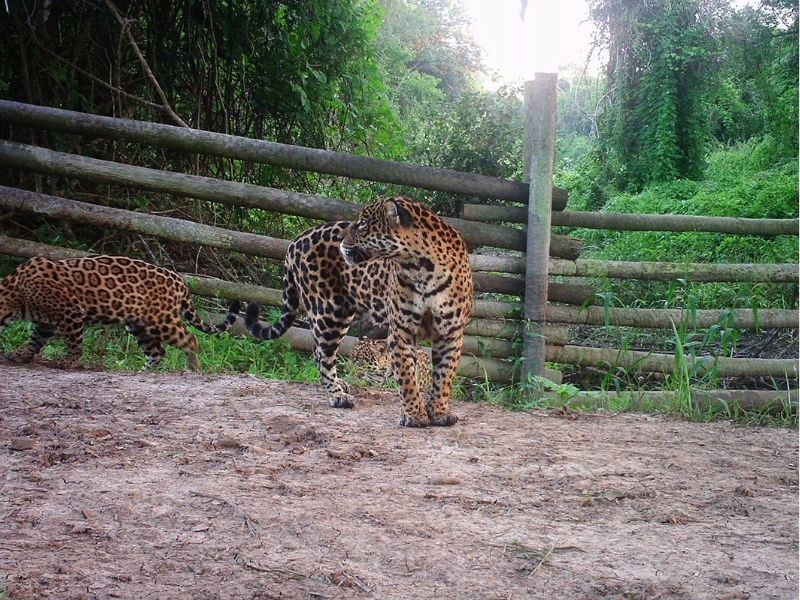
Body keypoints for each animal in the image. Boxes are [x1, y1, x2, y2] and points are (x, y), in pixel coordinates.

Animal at [0, 255, 232, 370]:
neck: (15, 293)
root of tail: (181, 282)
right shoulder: (46, 322)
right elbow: (35, 340)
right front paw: (21, 355)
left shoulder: (71, 312)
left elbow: (74, 342)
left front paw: (71, 363)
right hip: (139, 325)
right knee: (157, 352)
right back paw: (144, 372)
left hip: (161, 320)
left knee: (191, 339)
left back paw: (194, 368)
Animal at [237, 195, 473, 427]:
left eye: (363, 224)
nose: (341, 239)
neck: (423, 269)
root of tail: (297, 239)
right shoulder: (401, 330)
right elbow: (407, 376)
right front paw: (414, 415)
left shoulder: (451, 332)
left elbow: (444, 375)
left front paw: (439, 412)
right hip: (330, 312)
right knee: (323, 354)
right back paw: (337, 395)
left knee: (318, 350)